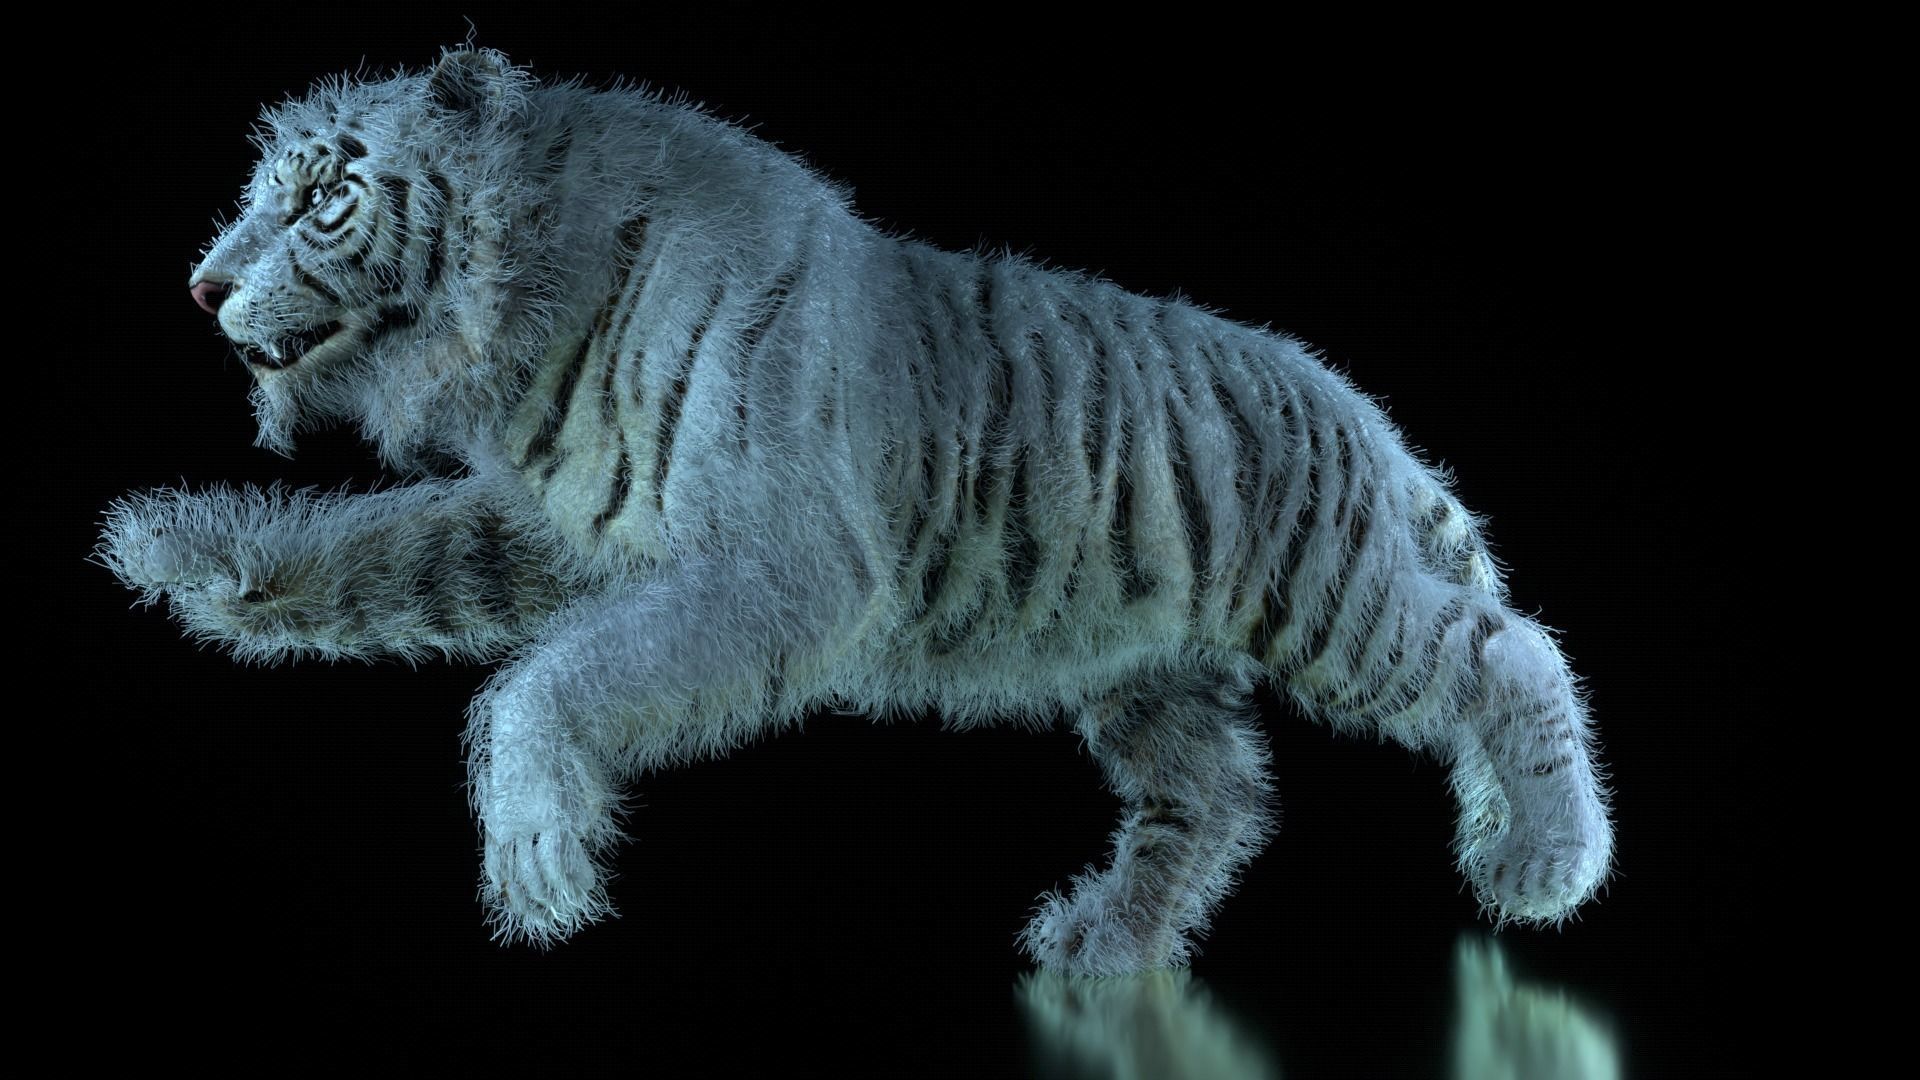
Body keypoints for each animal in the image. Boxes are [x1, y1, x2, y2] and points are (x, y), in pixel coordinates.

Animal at [98, 47, 1615, 976]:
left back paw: (1545, 862)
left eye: (324, 198)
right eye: (256, 193)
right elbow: (386, 547)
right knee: (1216, 797)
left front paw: (535, 863)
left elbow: (543, 684)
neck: (530, 316)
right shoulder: (560, 528)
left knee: (1508, 651)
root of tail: (1364, 416)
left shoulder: (785, 568)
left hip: (1331, 604)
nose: (199, 284)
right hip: (1144, 671)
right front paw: (187, 550)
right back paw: (1105, 945)